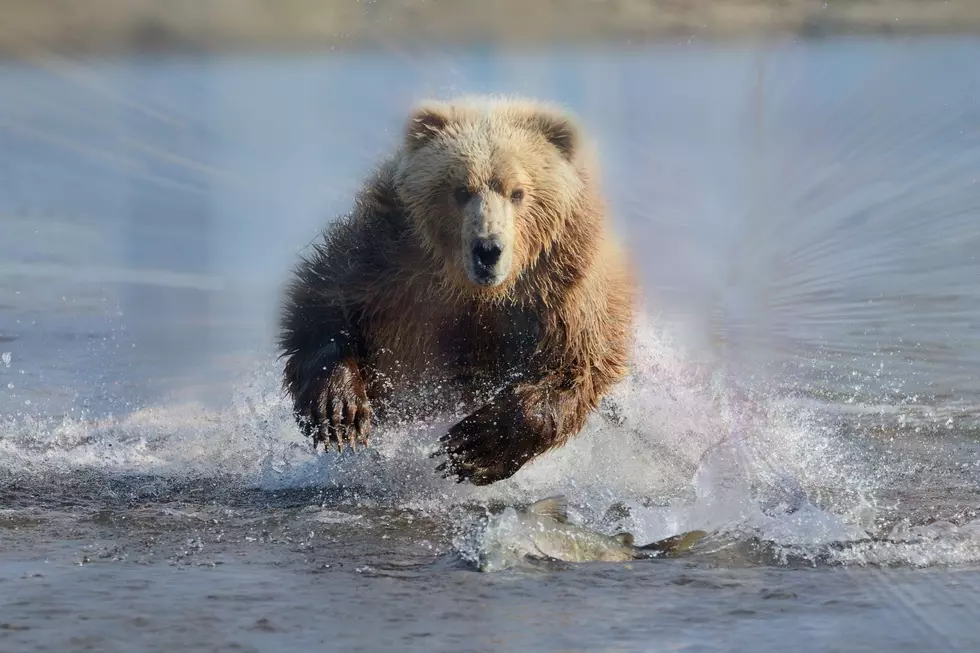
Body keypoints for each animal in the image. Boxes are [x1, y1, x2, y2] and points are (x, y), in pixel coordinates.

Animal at [280, 95, 640, 484]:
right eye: (460, 190)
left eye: (518, 192)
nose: (488, 249)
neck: (474, 290)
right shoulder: (390, 259)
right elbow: (324, 302)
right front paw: (339, 410)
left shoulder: (561, 289)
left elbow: (575, 365)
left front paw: (473, 447)